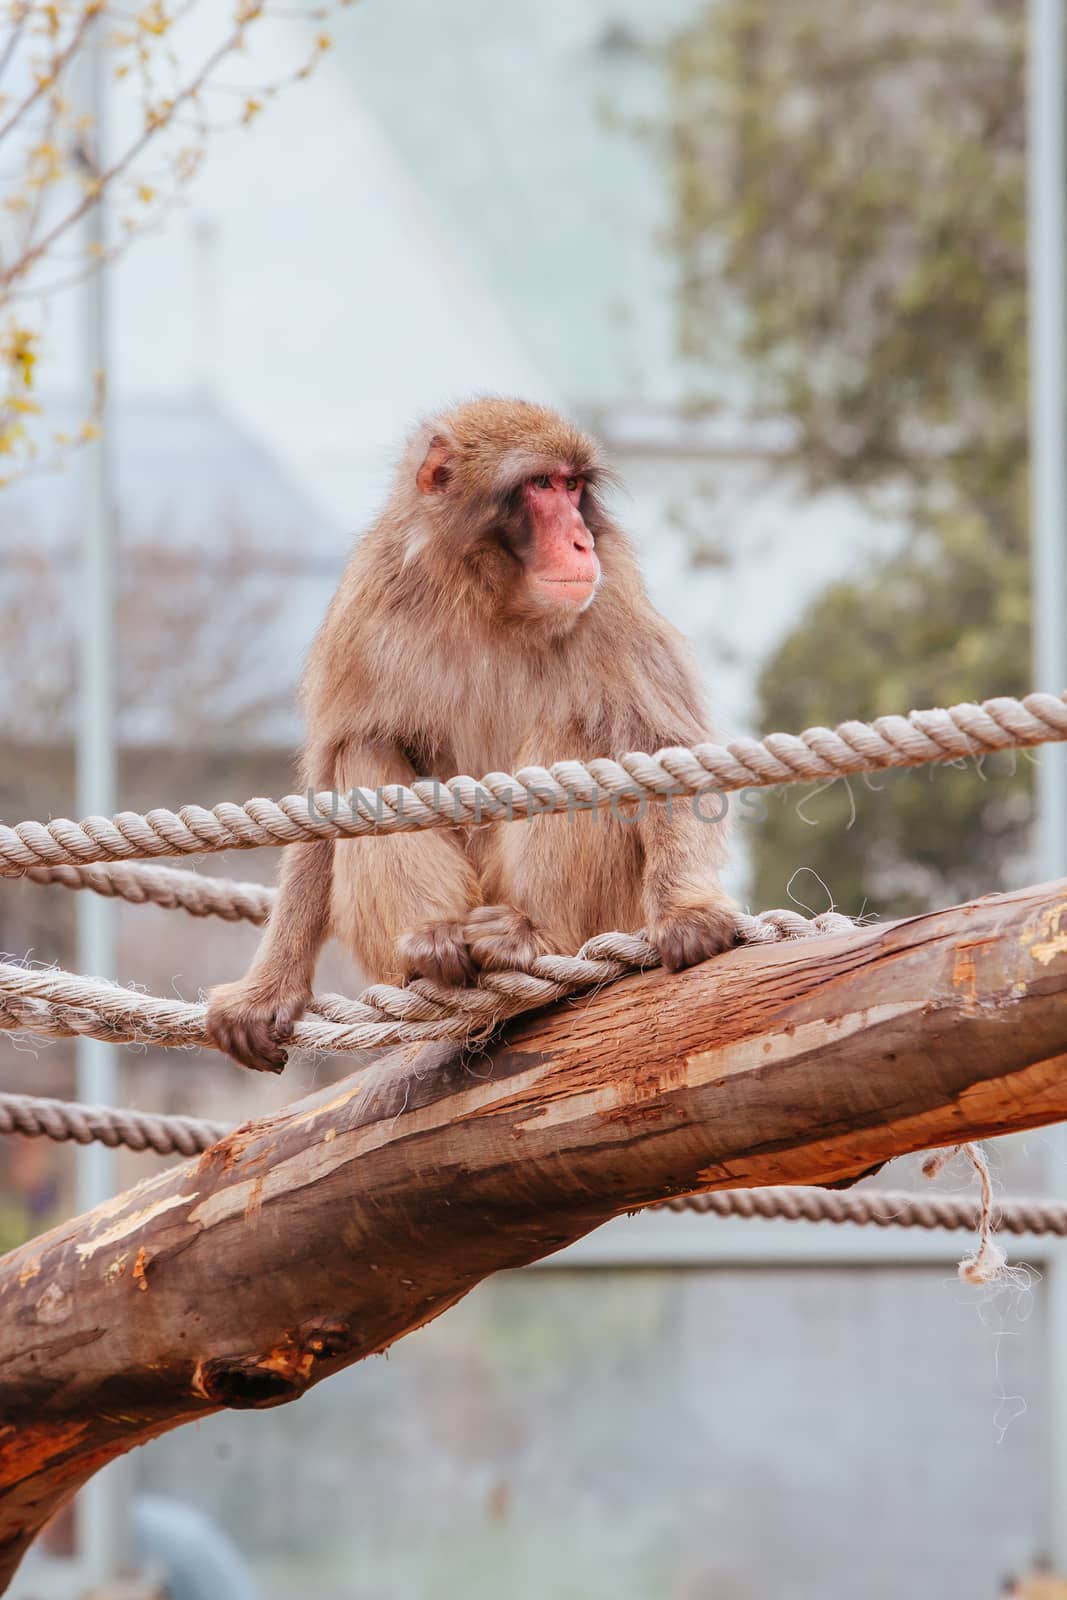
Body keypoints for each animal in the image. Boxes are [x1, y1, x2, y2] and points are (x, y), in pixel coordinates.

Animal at [207, 400, 742, 1075]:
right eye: (542, 486)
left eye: (573, 486)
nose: (581, 539)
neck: (486, 592)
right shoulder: (365, 605)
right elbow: (328, 786)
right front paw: (269, 986)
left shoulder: (613, 595)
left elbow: (664, 752)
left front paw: (688, 913)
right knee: (365, 752)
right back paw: (429, 946)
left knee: (577, 728)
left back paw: (530, 935)